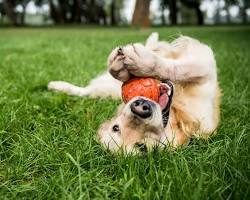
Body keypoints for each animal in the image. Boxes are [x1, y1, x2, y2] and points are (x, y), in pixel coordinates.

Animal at [48, 32, 221, 153]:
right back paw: (57, 86)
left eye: (142, 145)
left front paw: (141, 63)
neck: (175, 113)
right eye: (116, 128)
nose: (140, 108)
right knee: (86, 91)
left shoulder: (205, 70)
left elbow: (180, 68)